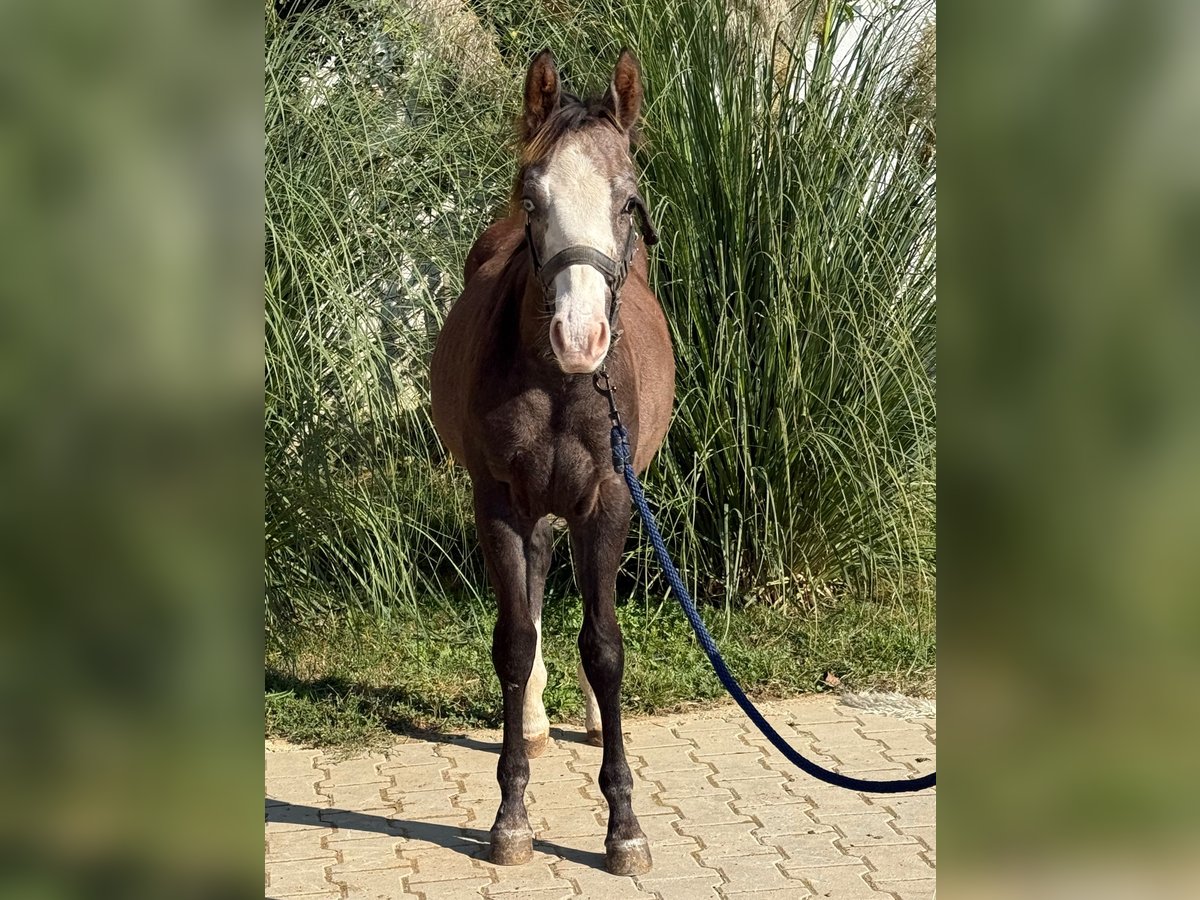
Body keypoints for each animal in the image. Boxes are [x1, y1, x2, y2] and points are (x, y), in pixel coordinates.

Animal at [430, 49, 675, 876]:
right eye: (534, 197)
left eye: (628, 203)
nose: (580, 337)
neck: (562, 385)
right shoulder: (500, 500)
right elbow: (513, 642)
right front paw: (511, 817)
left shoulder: (610, 498)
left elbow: (605, 646)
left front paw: (624, 827)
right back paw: (536, 721)